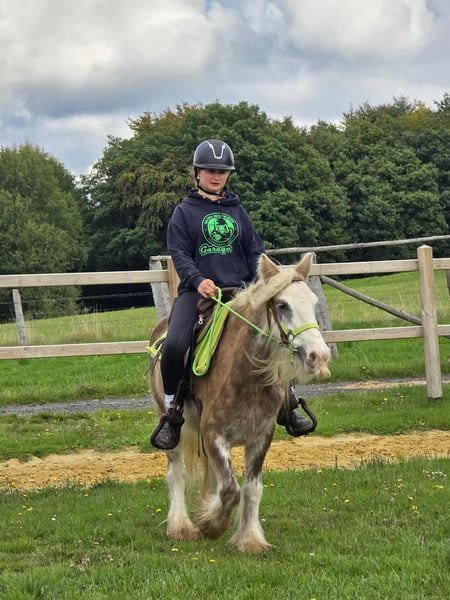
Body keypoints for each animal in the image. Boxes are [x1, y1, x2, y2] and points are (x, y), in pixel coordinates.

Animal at [149, 252, 331, 552]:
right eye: (282, 305)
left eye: (313, 303)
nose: (319, 355)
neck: (247, 375)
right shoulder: (214, 434)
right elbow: (231, 490)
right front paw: (211, 525)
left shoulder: (261, 436)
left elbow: (251, 488)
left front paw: (249, 539)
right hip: (172, 424)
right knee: (176, 472)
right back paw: (181, 526)